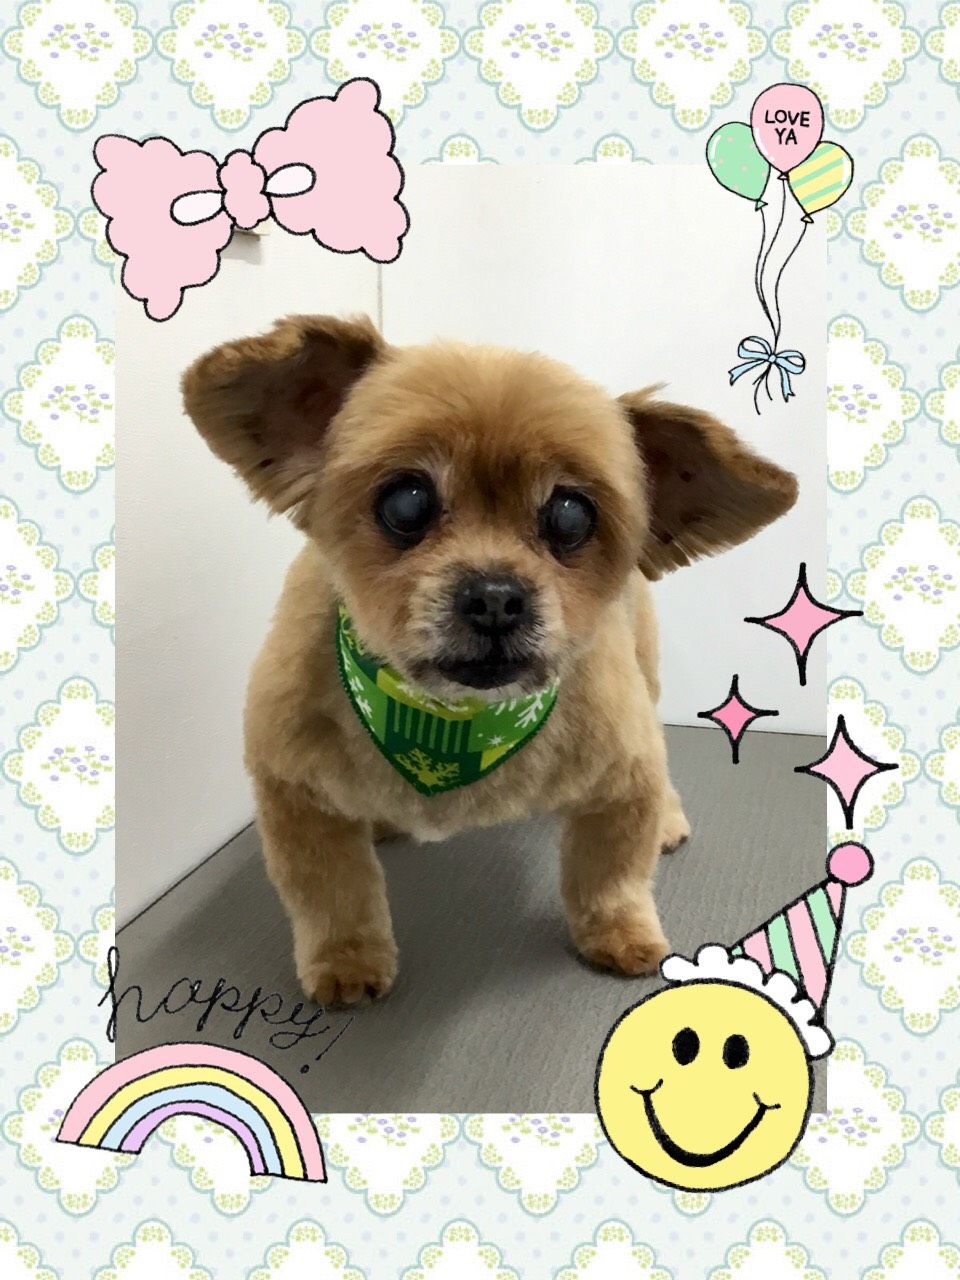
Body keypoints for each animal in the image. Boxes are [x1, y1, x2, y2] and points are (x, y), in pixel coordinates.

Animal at [182, 314, 797, 1005]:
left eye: (570, 515)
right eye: (406, 502)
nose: (496, 598)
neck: (452, 722)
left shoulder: (623, 768)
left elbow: (613, 873)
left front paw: (621, 932)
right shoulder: (292, 789)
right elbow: (331, 895)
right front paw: (345, 962)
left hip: (645, 664)